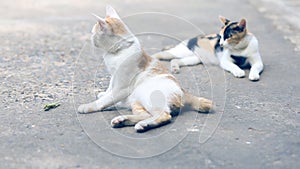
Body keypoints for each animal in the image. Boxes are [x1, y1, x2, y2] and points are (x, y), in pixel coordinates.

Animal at [77, 5, 213, 132]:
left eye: (93, 33)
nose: (90, 39)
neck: (119, 51)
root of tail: (184, 92)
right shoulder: (113, 76)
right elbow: (109, 89)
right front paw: (104, 93)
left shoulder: (121, 87)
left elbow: (106, 100)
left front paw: (88, 106)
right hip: (136, 102)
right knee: (146, 115)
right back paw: (122, 120)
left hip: (146, 95)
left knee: (164, 115)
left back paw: (143, 124)